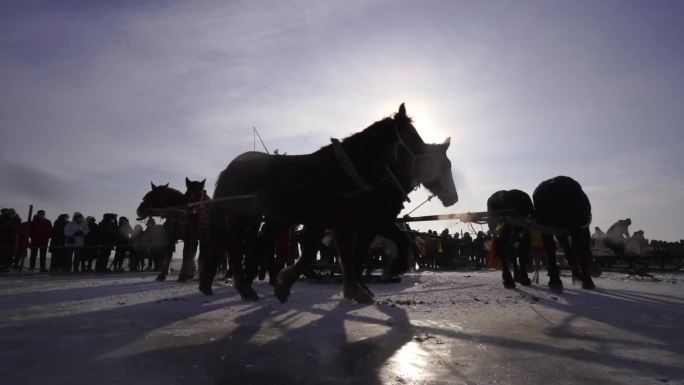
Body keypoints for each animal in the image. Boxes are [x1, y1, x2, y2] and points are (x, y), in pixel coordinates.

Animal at [203, 104, 460, 304]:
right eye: (413, 138)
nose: (453, 198)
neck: (349, 174)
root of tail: (232, 166)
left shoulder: (344, 222)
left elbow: (347, 254)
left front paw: (355, 287)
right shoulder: (353, 221)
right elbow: (333, 254)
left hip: (269, 218)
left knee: (258, 244)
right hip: (243, 216)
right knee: (235, 246)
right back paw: (243, 286)